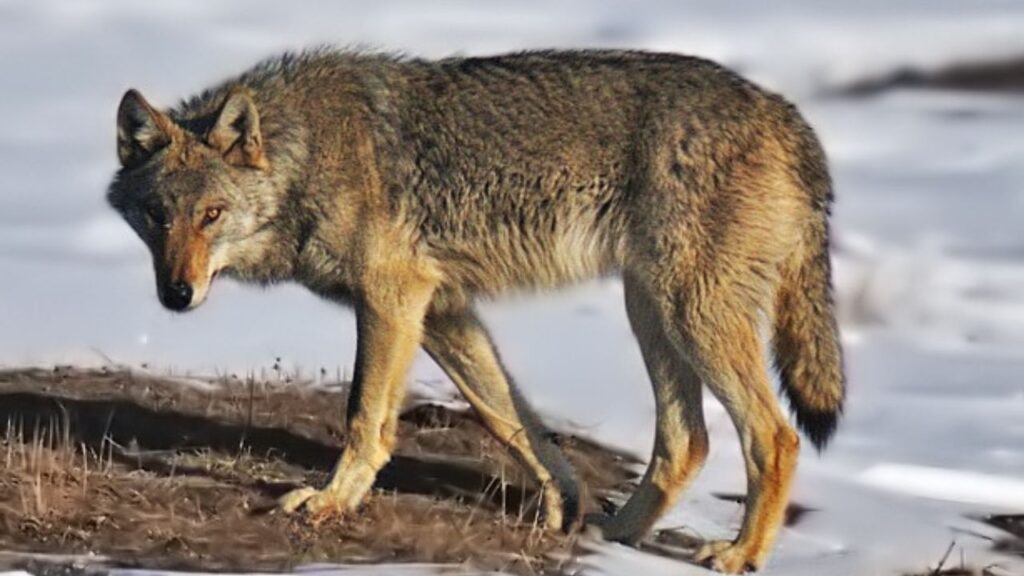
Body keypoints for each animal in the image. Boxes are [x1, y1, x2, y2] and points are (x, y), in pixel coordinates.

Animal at [107, 48, 844, 573]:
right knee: (687, 441)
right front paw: (564, 508)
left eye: (211, 215)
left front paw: (330, 502)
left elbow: (364, 416)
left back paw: (740, 556)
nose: (176, 295)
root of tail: (788, 116)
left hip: (688, 314)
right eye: (158, 217)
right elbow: (512, 422)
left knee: (774, 436)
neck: (309, 154)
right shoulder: (441, 309)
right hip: (651, 311)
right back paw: (616, 536)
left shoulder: (392, 297)